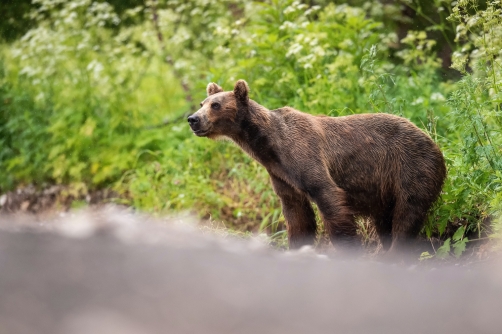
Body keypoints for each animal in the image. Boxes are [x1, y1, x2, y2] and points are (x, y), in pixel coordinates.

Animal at [188, 79, 448, 252]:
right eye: (202, 102)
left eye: (216, 105)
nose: (193, 119)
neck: (269, 146)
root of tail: (434, 142)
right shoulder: (281, 175)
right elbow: (296, 214)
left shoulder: (306, 157)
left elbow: (330, 199)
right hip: (384, 189)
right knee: (385, 220)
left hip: (411, 168)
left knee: (407, 214)